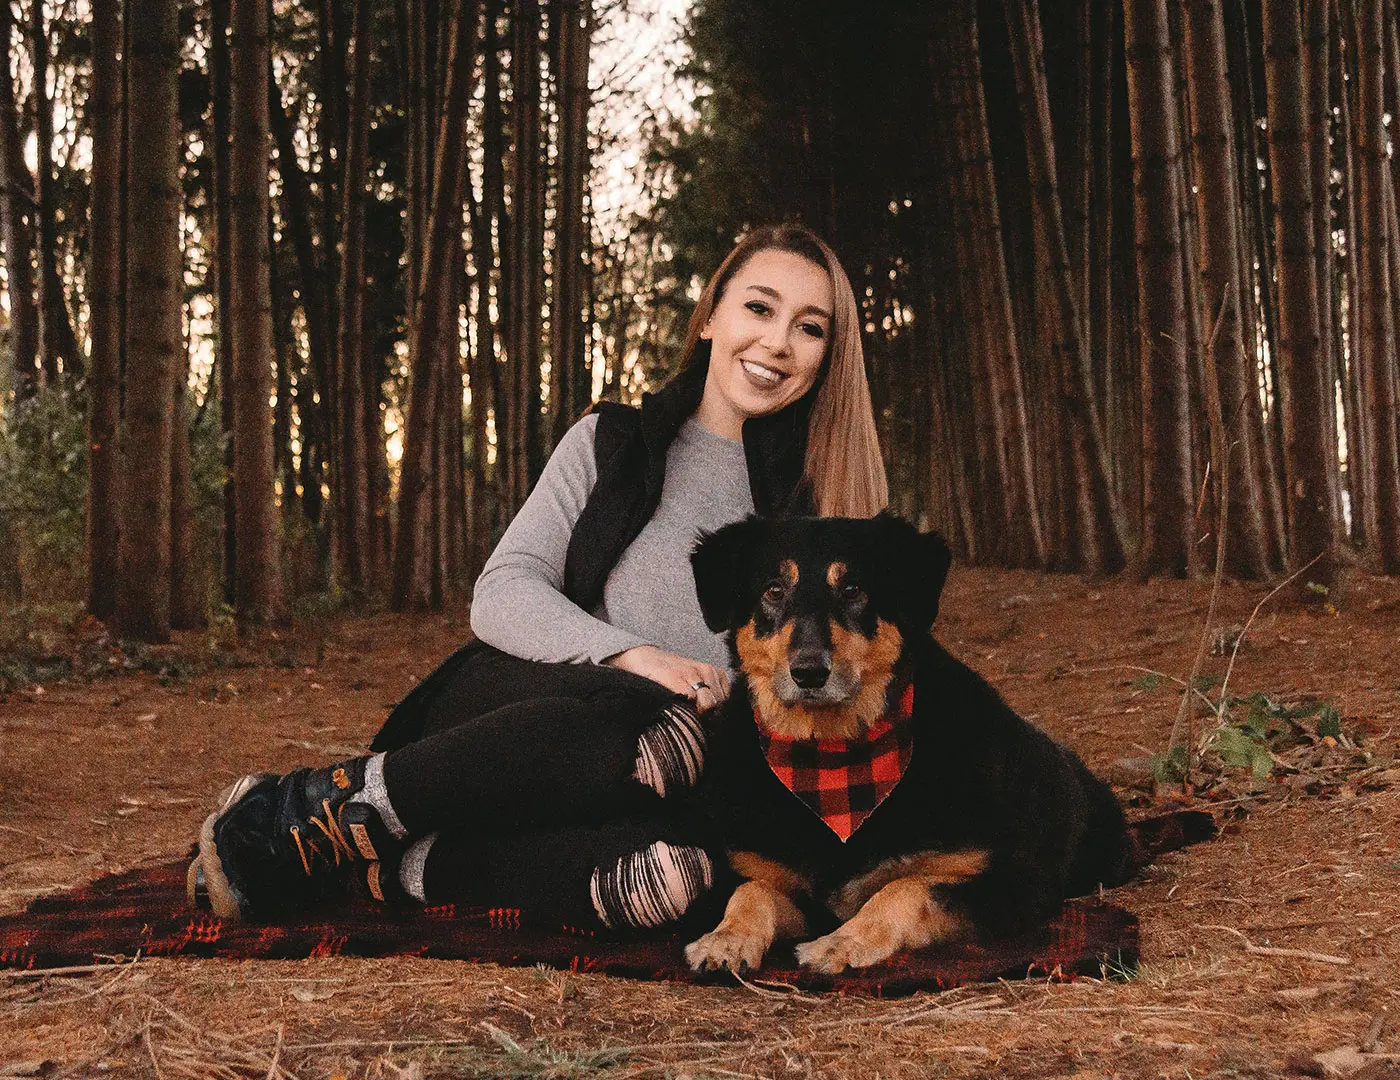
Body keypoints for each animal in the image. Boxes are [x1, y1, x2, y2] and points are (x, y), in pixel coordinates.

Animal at [683, 509, 1142, 974]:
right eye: (774, 590)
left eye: (852, 589)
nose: (809, 672)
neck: (830, 761)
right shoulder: (781, 884)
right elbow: (752, 891)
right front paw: (726, 938)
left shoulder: (1013, 883)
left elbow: (907, 887)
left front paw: (842, 942)